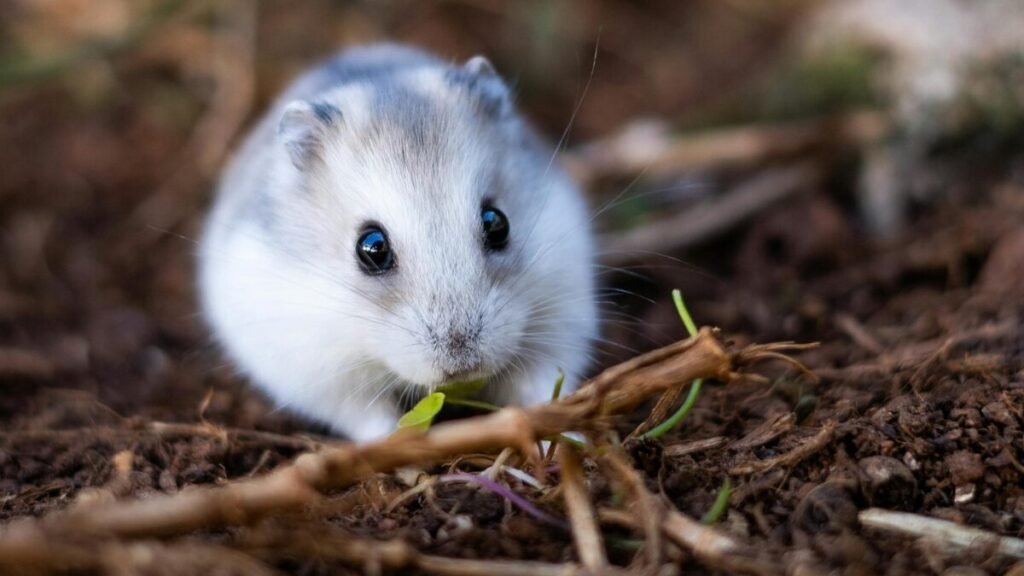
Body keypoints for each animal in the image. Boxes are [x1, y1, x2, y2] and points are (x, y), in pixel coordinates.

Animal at [198, 44, 597, 441]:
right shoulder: (322, 376)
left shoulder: (558, 325)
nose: (462, 359)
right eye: (372, 247)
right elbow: (372, 418)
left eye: (497, 223)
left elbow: (541, 390)